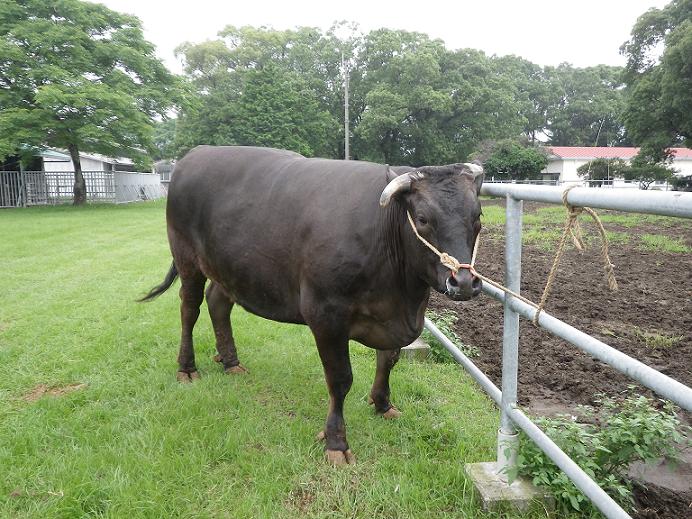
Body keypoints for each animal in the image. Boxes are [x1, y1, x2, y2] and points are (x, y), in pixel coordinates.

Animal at [143, 146, 484, 468]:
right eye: (423, 219)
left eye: (478, 218)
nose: (464, 282)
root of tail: (196, 153)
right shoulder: (325, 315)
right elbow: (340, 379)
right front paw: (336, 442)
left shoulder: (393, 316)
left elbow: (388, 360)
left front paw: (383, 404)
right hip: (187, 258)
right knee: (190, 310)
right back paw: (187, 368)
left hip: (229, 268)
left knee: (218, 303)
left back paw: (230, 361)